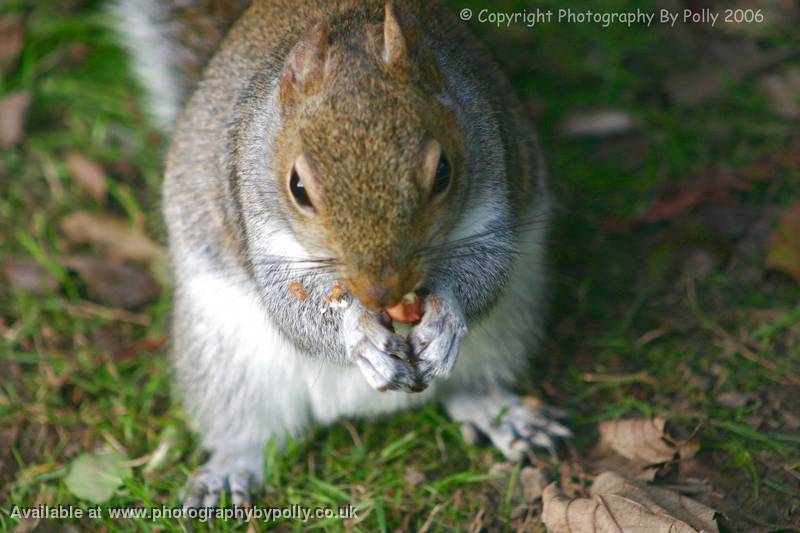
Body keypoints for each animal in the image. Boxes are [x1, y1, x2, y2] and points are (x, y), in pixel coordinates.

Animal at [115, 0, 572, 508]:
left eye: (443, 172)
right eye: (297, 187)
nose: (382, 291)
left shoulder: (490, 175)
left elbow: (488, 267)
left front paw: (445, 319)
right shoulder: (255, 214)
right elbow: (290, 306)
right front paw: (359, 335)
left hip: (507, 328)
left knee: (471, 383)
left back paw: (501, 413)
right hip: (224, 356)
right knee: (248, 429)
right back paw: (229, 470)